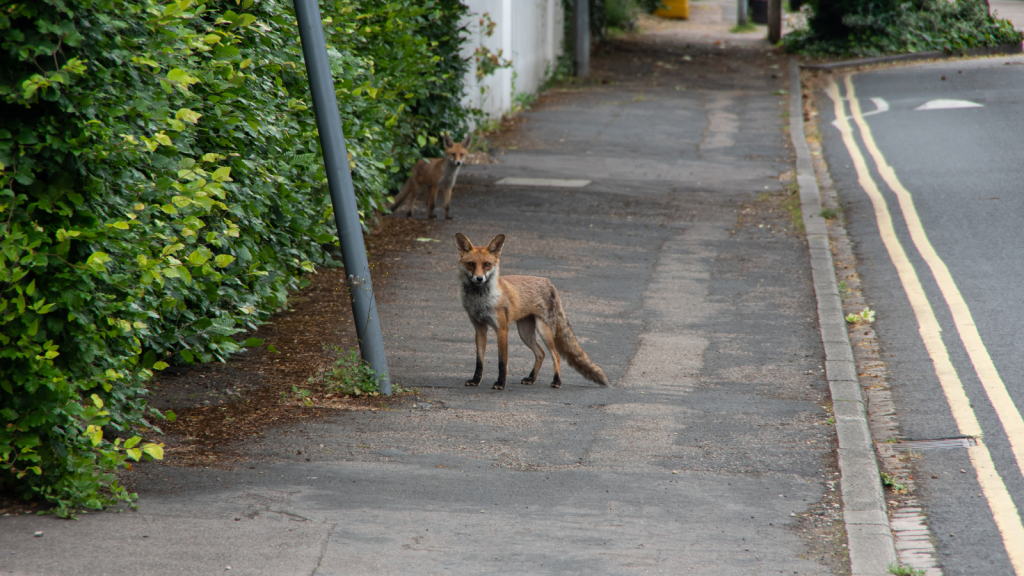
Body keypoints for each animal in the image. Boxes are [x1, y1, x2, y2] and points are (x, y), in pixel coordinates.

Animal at [456, 231, 606, 389]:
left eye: (487, 264)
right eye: (471, 264)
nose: (479, 278)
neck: (481, 301)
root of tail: (549, 283)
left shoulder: (502, 330)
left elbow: (502, 362)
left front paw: (501, 383)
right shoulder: (479, 329)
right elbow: (479, 361)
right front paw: (475, 380)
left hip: (544, 330)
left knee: (556, 355)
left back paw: (557, 381)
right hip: (525, 333)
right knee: (541, 354)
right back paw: (531, 378)